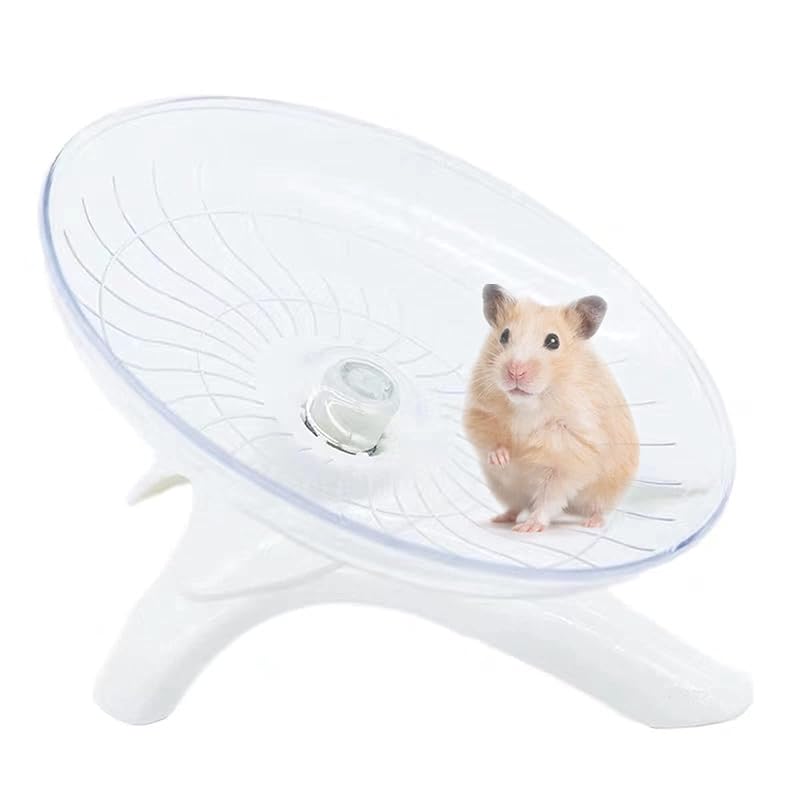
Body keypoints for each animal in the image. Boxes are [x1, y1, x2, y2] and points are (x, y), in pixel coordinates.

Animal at [463, 284, 638, 533]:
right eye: (504, 335)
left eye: (553, 341)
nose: (515, 371)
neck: (528, 404)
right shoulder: (479, 411)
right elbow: (490, 439)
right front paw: (504, 457)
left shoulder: (573, 450)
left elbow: (550, 492)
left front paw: (529, 451)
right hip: (504, 488)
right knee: (516, 506)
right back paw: (500, 518)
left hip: (604, 492)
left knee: (587, 508)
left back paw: (585, 523)